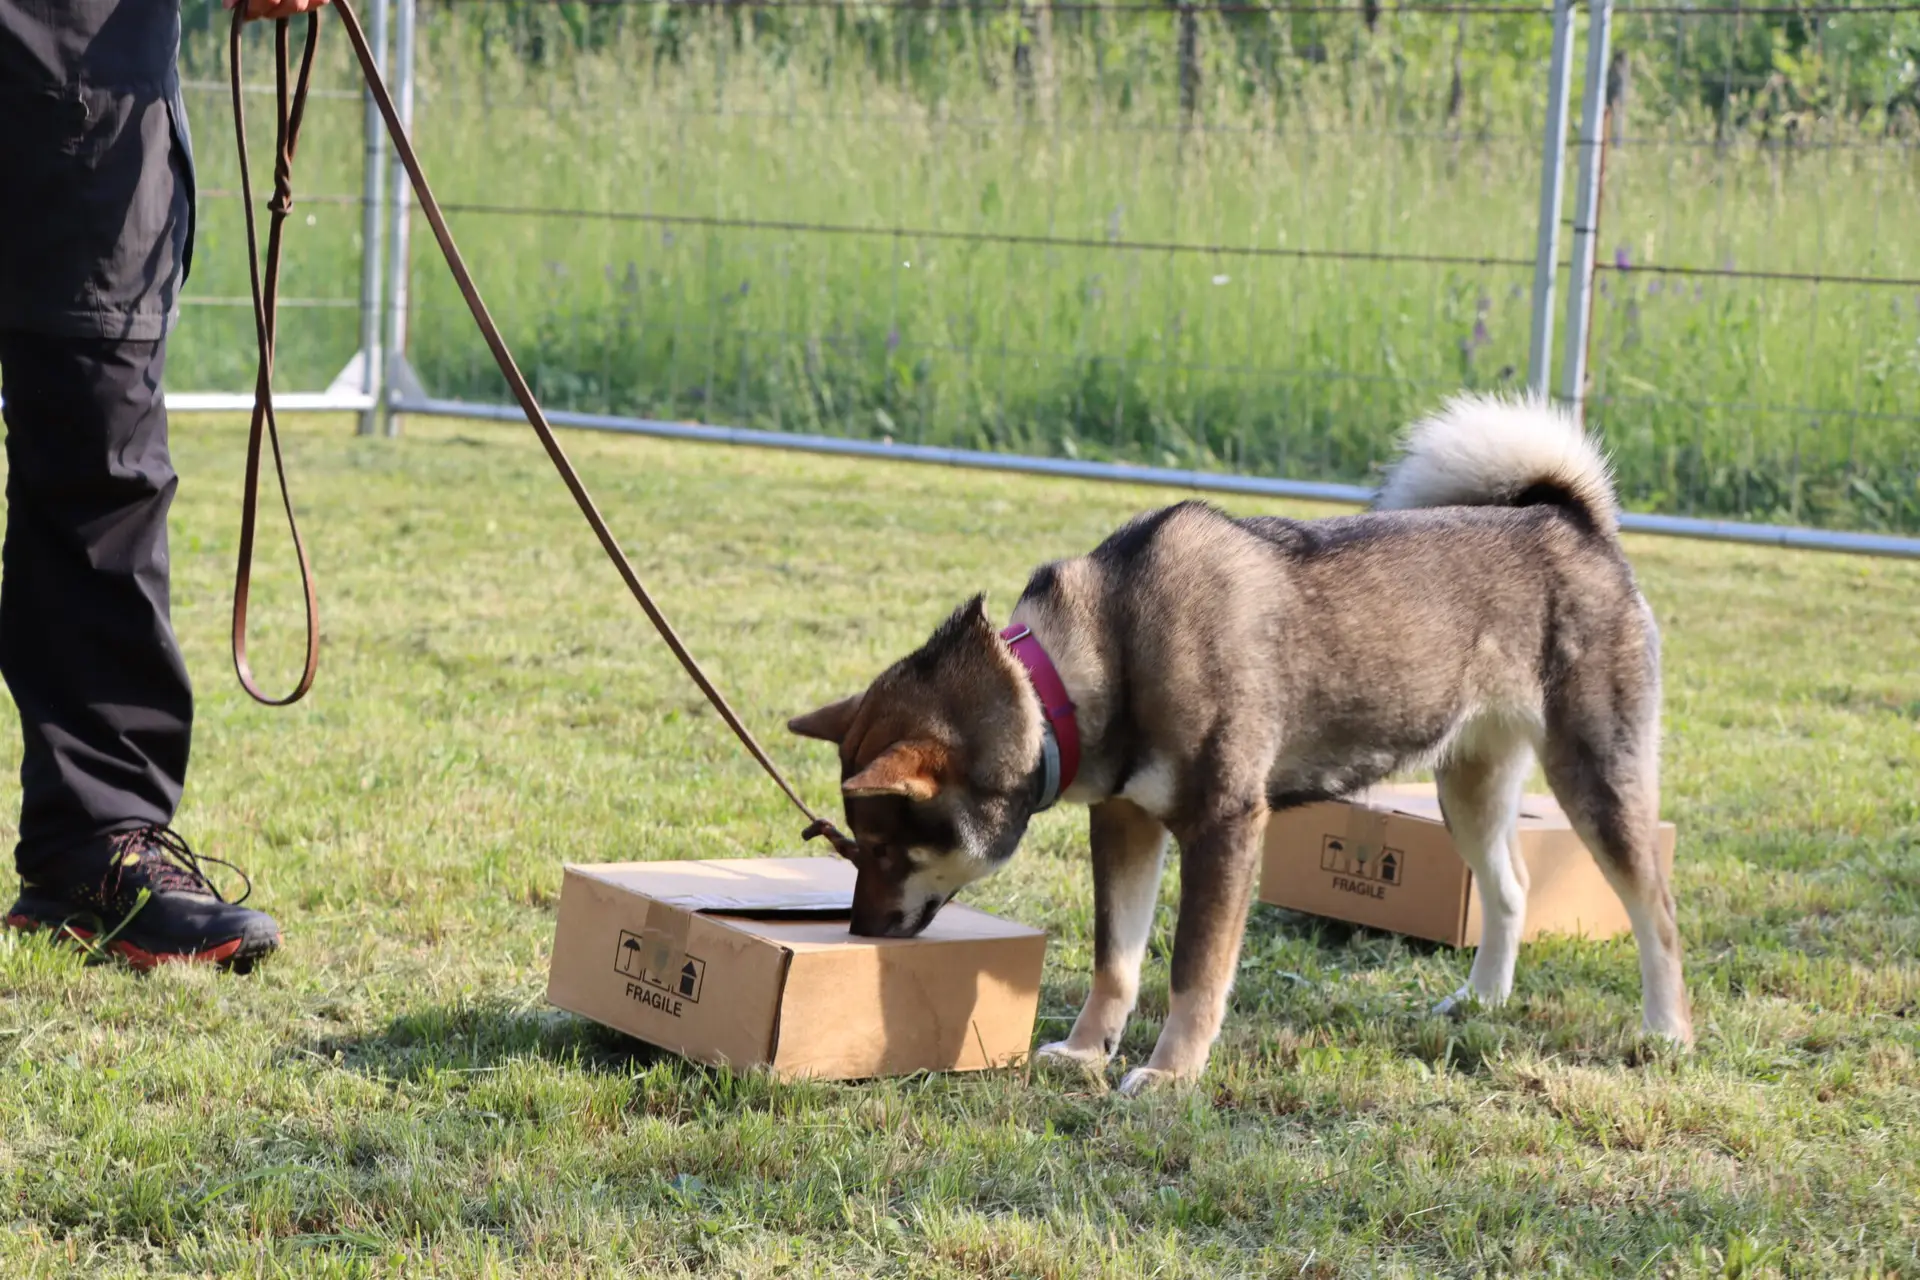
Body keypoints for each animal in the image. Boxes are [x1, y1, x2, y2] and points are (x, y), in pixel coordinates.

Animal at [789, 393, 1690, 1094]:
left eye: (884, 845)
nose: (859, 931)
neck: (1078, 672)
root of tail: (1567, 517)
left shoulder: (1224, 828)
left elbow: (1193, 970)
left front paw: (1170, 1072)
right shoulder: (1125, 824)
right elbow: (1116, 959)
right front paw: (1087, 1052)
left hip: (1597, 781)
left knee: (1657, 911)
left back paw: (1667, 1031)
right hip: (1467, 790)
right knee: (1510, 892)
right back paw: (1480, 1003)